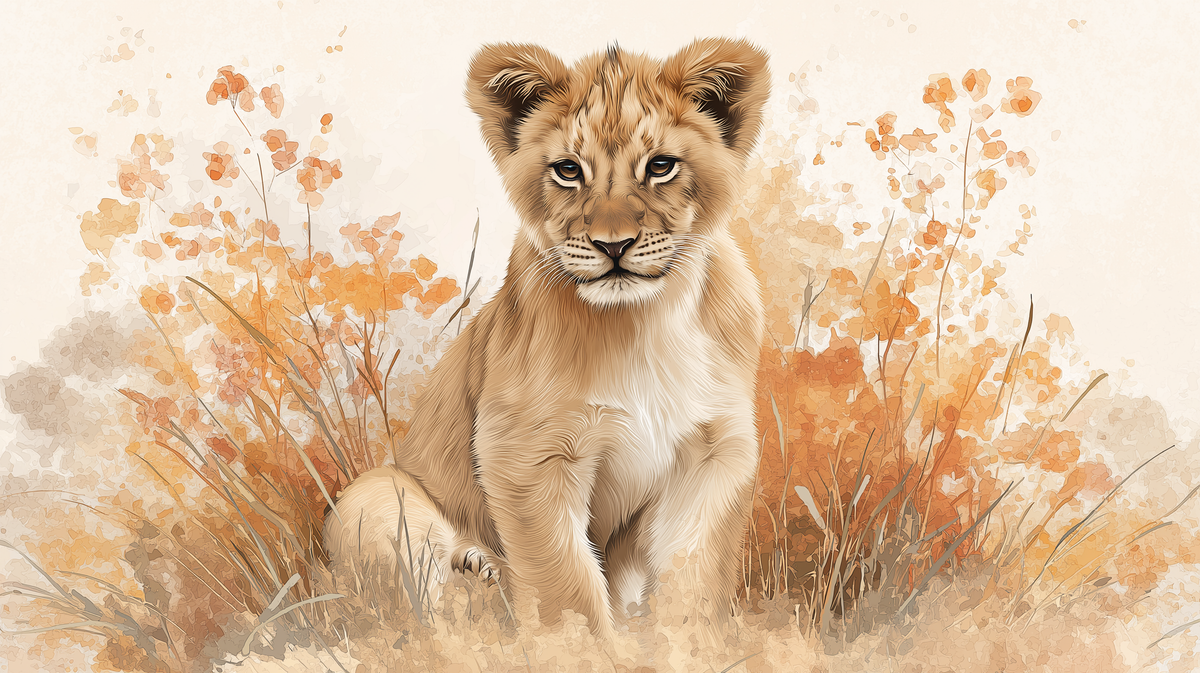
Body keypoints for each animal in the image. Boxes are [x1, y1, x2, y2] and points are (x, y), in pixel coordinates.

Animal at [324, 38, 770, 639]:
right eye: (567, 170)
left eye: (660, 166)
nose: (613, 245)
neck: (640, 321)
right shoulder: (525, 452)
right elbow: (566, 586)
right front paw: (580, 647)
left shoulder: (714, 451)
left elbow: (692, 580)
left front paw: (687, 645)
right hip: (370, 498)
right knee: (417, 616)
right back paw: (478, 573)